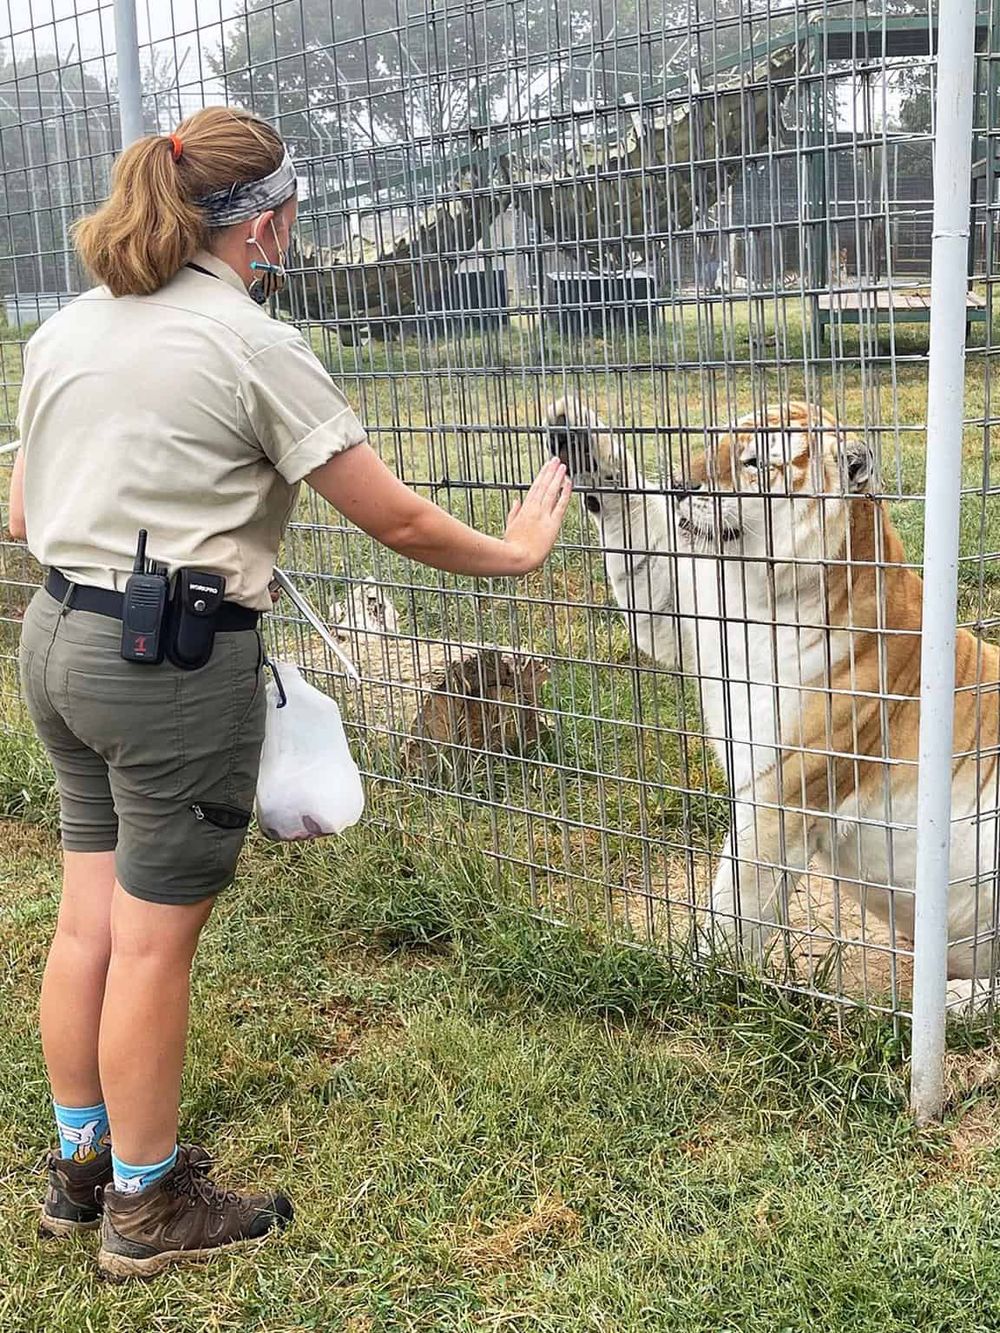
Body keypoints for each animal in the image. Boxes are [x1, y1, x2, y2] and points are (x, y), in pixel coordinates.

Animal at [546, 395, 1000, 1006]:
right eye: (713, 440)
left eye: (754, 462)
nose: (679, 483)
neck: (764, 598)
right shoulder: (685, 617)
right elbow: (638, 537)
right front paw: (578, 433)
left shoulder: (781, 794)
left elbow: (736, 904)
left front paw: (697, 982)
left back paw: (956, 999)